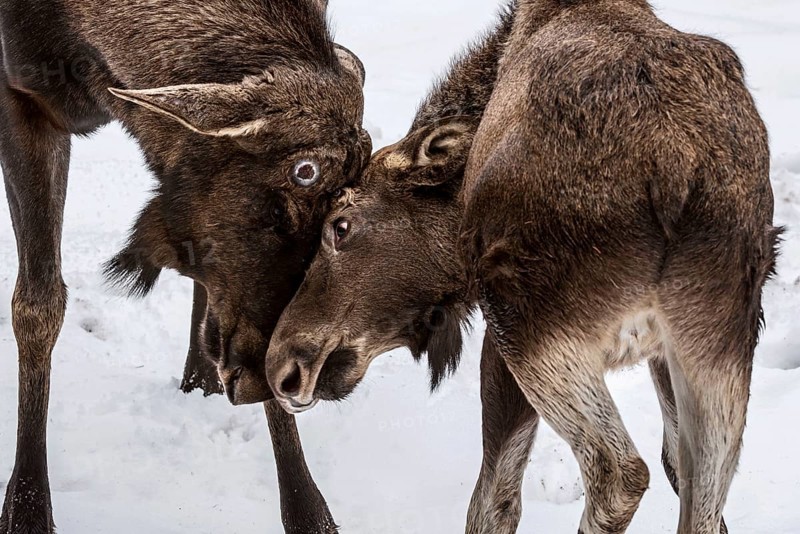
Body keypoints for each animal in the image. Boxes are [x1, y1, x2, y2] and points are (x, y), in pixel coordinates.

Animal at [0, 0, 371, 532]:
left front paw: (309, 513)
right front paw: (26, 506)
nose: (316, 378)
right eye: (305, 171)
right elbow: (37, 307)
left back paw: (200, 378)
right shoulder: (22, 99)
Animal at [264, 1, 780, 533]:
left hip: (534, 328)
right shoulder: (664, 354)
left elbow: (492, 501)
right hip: (717, 338)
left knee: (618, 472)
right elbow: (680, 468)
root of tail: (678, 175)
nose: (280, 366)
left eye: (340, 225)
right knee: (701, 491)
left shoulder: (500, 336)